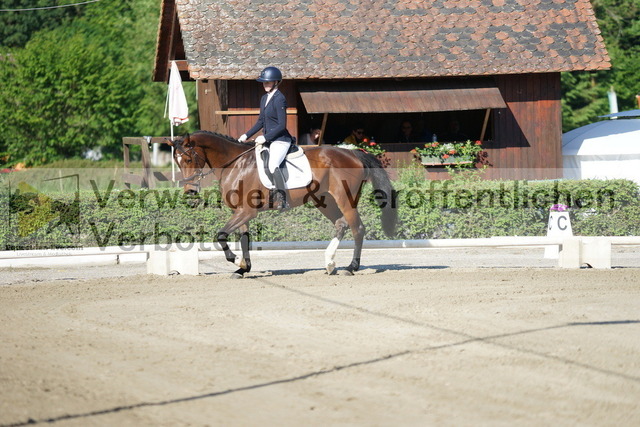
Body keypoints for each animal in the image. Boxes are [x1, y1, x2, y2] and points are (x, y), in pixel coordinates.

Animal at [168, 130, 397, 278]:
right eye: (177, 161)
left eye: (188, 159)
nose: (190, 191)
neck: (236, 164)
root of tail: (353, 152)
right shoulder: (240, 212)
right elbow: (244, 239)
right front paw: (243, 269)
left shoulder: (247, 212)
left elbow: (221, 234)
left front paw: (237, 261)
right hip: (324, 200)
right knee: (341, 224)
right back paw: (330, 264)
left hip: (345, 199)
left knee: (357, 228)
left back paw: (351, 267)